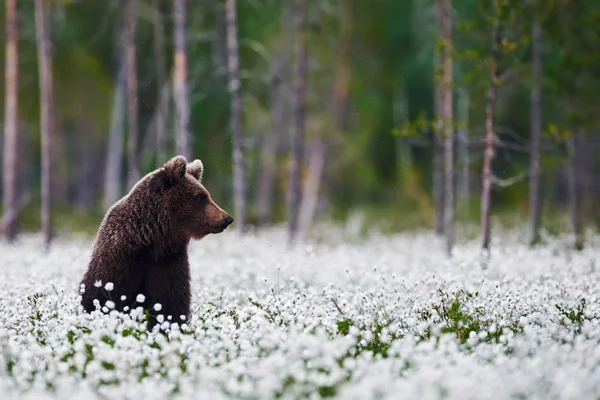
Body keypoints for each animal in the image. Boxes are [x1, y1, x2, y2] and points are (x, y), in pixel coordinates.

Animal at [78, 155, 232, 330]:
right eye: (201, 197)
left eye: (206, 194)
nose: (227, 218)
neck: (153, 241)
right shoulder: (120, 260)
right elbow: (102, 294)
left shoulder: (169, 262)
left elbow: (170, 302)